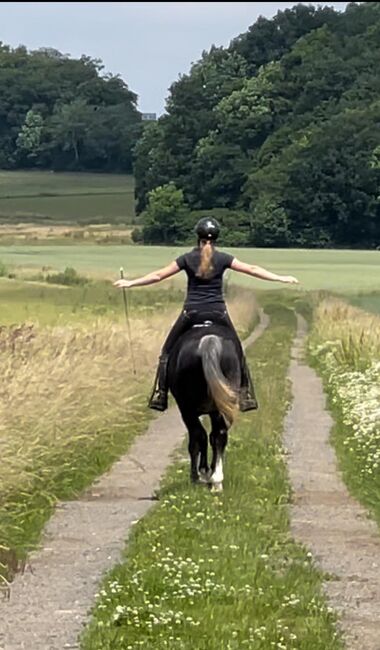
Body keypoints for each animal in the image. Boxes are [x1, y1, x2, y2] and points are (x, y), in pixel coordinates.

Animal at [168, 316, 240, 488]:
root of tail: (209, 341)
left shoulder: (187, 411)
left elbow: (197, 438)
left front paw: (199, 473)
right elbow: (213, 437)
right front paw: (210, 470)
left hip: (187, 409)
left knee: (199, 435)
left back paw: (205, 475)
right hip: (220, 406)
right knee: (219, 435)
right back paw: (217, 480)